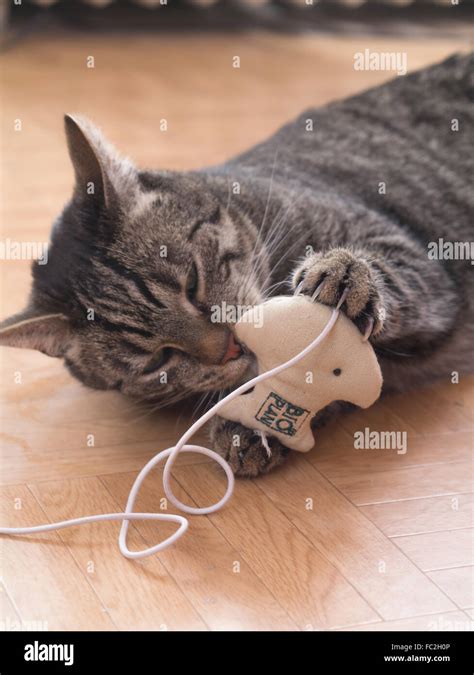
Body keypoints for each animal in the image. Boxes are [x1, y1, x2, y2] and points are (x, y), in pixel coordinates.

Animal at [0, 55, 474, 478]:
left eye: (192, 283)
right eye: (157, 361)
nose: (228, 346)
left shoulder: (415, 257)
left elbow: (381, 270)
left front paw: (343, 273)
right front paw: (250, 426)